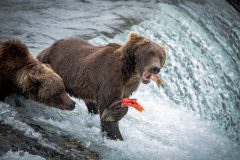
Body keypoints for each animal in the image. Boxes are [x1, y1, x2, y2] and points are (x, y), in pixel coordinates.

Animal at [37, 32, 167, 140]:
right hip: (51, 62)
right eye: (149, 53)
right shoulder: (110, 79)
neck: (131, 72)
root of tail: (53, 44)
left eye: (161, 57)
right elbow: (108, 104)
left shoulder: (128, 87)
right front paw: (114, 132)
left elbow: (122, 103)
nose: (155, 68)